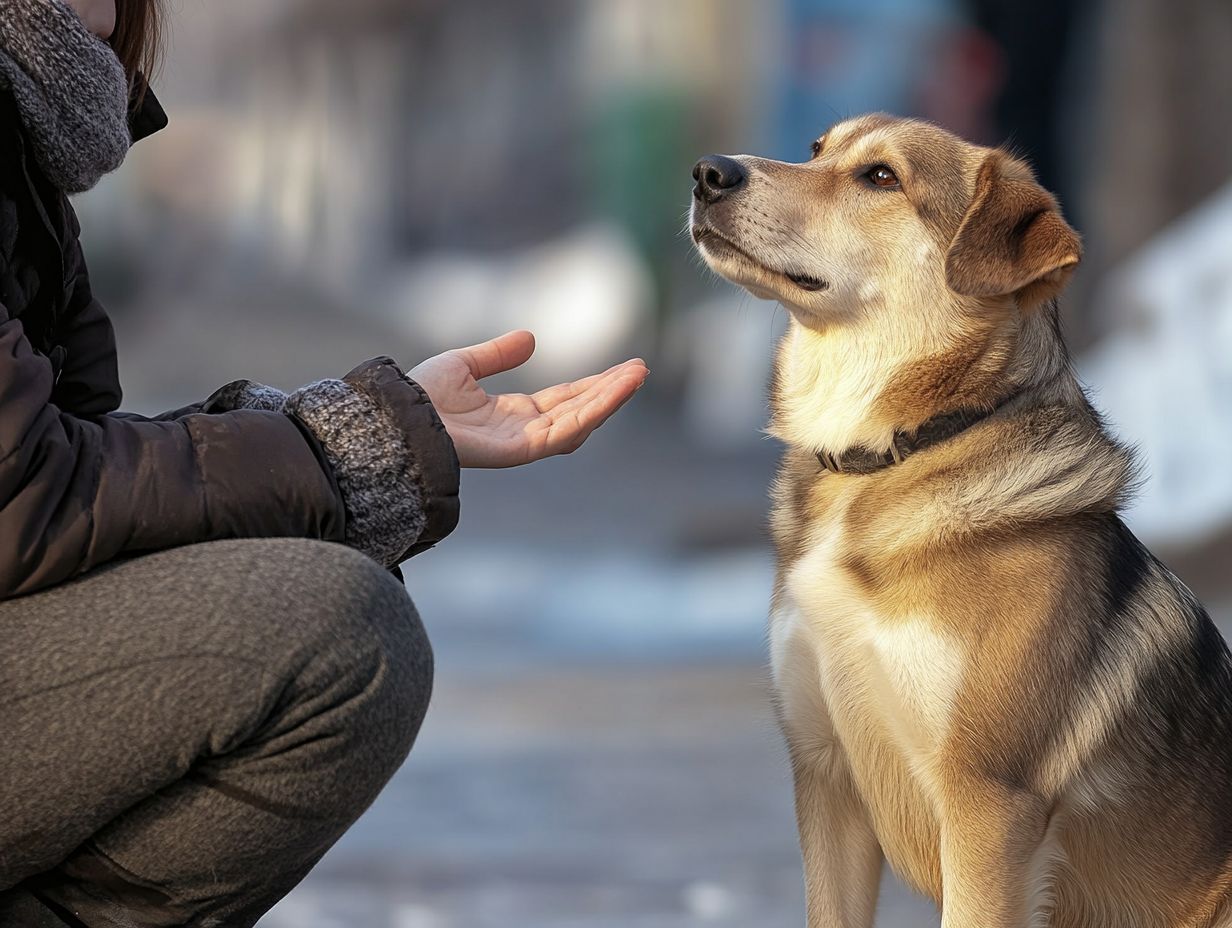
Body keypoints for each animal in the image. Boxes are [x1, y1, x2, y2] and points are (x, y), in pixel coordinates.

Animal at [689, 115, 1232, 926]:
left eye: (881, 177)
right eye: (816, 150)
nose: (707, 172)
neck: (886, 457)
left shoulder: (988, 807)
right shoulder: (824, 778)